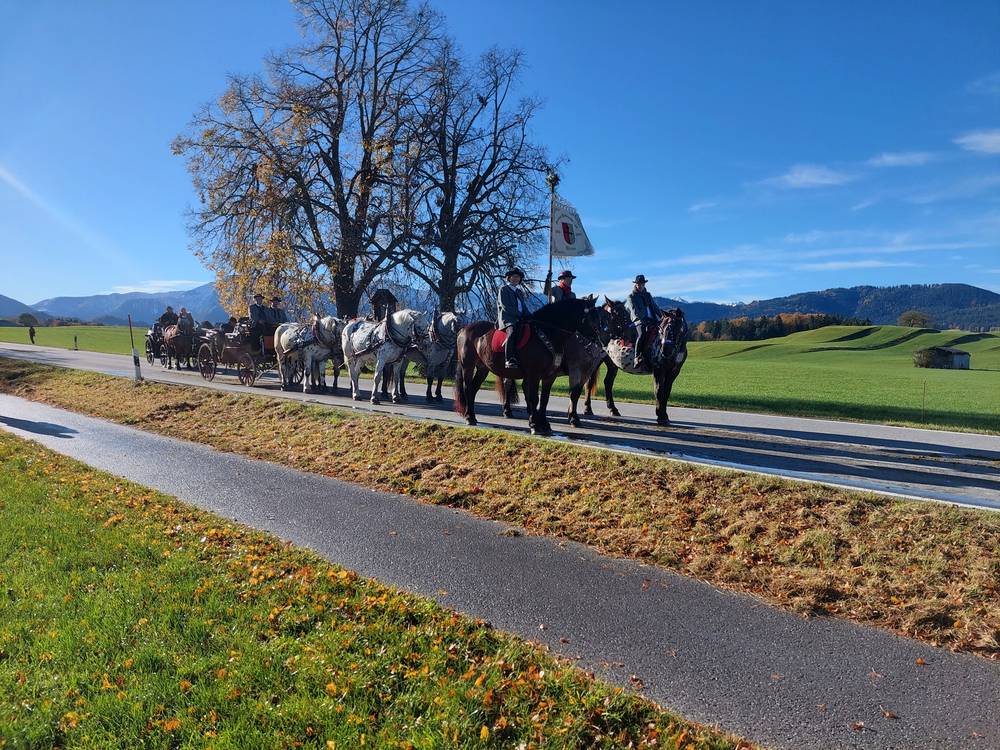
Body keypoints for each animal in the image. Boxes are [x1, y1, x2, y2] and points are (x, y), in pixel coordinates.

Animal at [454, 298, 606, 435]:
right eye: (590, 318)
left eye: (599, 318)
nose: (600, 342)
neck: (547, 334)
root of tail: (464, 329)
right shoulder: (534, 375)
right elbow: (534, 398)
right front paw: (534, 425)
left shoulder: (549, 376)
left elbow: (544, 399)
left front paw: (544, 425)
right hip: (468, 366)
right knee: (468, 388)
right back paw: (469, 417)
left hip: (483, 368)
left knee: (473, 389)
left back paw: (472, 416)